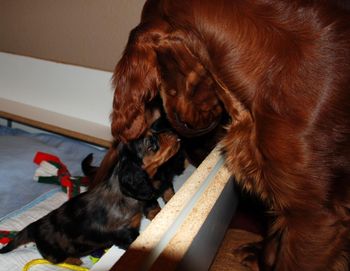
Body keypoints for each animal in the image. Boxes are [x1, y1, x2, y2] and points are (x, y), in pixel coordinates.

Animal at [0, 132, 180, 264]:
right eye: (151, 143)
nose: (173, 132)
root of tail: (34, 226)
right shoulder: (126, 234)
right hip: (55, 252)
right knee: (55, 259)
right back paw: (75, 260)